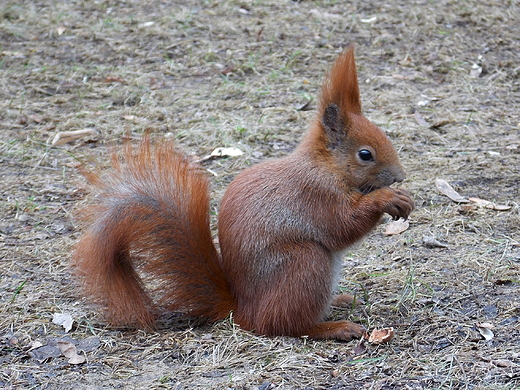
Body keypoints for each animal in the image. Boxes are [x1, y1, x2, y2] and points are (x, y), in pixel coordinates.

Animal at [73, 46, 414, 342]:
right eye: (365, 154)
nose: (400, 176)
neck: (326, 166)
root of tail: (242, 309)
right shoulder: (315, 194)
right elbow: (341, 225)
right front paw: (389, 199)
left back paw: (338, 300)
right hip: (305, 264)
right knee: (281, 324)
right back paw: (332, 327)